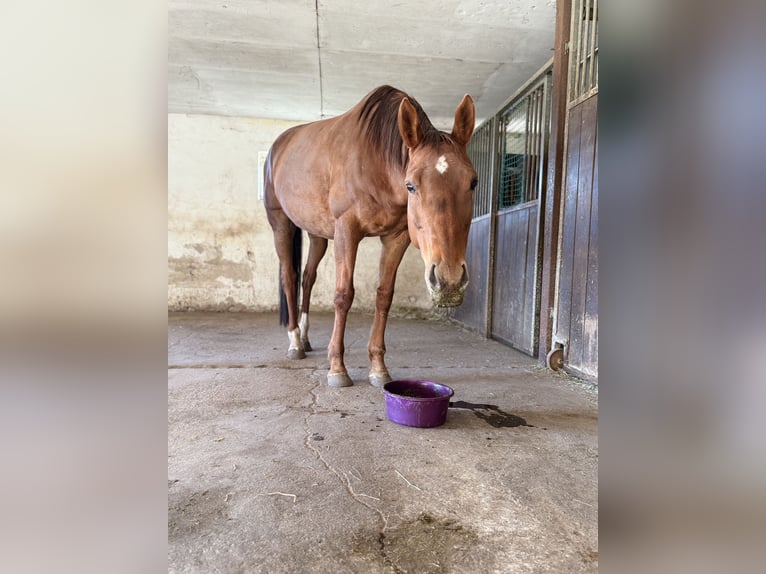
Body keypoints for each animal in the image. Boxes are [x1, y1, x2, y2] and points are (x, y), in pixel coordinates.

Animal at [263, 85, 477, 387]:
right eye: (411, 186)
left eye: (473, 182)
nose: (449, 281)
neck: (375, 162)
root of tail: (278, 147)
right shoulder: (347, 230)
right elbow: (343, 295)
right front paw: (337, 368)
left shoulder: (397, 237)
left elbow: (384, 296)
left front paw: (378, 367)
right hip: (280, 223)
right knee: (289, 278)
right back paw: (294, 342)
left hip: (317, 234)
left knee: (307, 277)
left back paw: (304, 338)